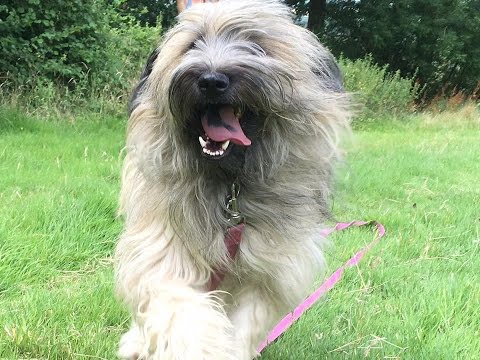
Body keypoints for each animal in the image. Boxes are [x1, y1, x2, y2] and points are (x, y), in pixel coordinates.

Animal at [114, 1, 350, 358]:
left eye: (256, 44)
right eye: (192, 45)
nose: (212, 80)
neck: (230, 186)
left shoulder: (268, 271)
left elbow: (247, 321)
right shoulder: (163, 249)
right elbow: (182, 312)